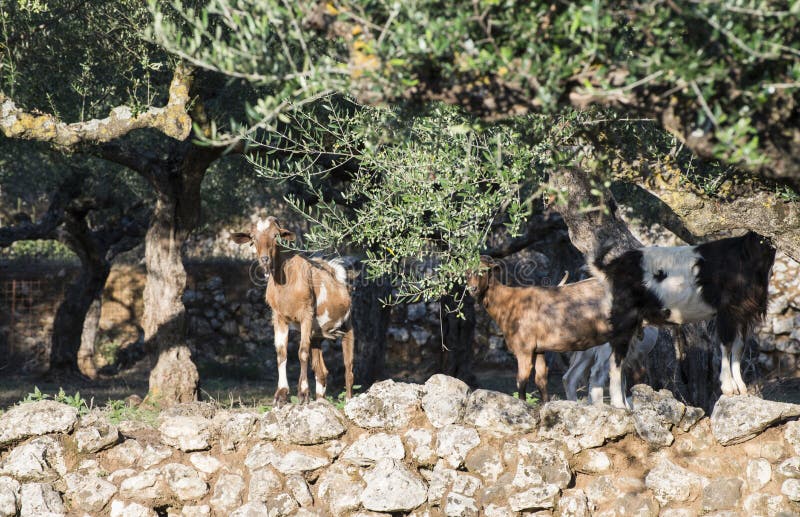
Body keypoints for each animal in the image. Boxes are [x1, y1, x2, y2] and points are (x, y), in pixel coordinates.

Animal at [231, 217, 354, 405]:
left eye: (276, 235)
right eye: (253, 238)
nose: (265, 259)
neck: (286, 281)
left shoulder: (306, 314)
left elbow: (302, 353)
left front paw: (302, 393)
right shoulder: (279, 317)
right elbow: (281, 354)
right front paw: (281, 394)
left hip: (347, 326)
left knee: (349, 369)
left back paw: (348, 401)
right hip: (317, 335)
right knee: (321, 371)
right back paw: (320, 401)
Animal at [466, 256, 613, 402]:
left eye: (484, 270)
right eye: (467, 271)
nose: (473, 288)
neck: (508, 305)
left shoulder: (524, 348)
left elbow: (521, 381)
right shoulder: (539, 349)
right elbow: (541, 381)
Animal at [592, 231, 775, 408]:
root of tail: (612, 267)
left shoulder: (744, 315)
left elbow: (738, 348)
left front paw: (741, 389)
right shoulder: (726, 312)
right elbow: (726, 346)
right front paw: (728, 388)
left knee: (615, 364)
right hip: (624, 319)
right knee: (615, 362)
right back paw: (619, 406)